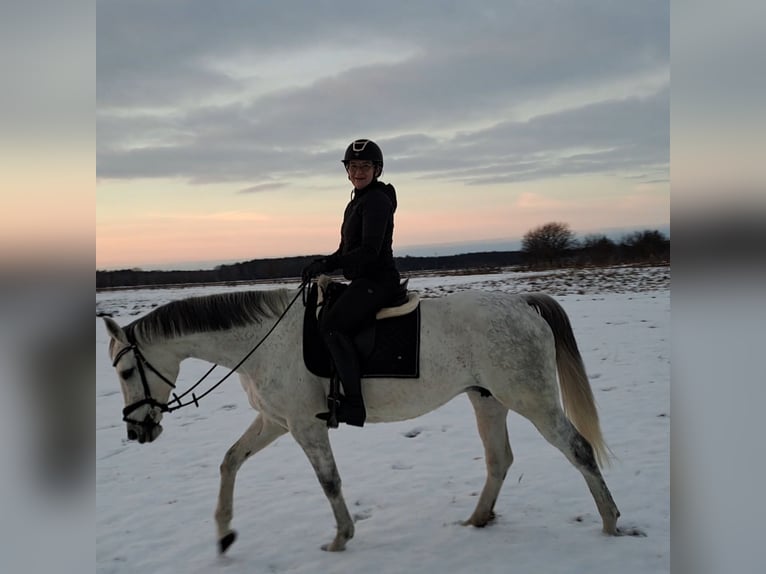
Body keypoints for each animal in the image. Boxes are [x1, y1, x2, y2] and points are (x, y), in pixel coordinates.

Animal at [102, 281, 628, 554]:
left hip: (531, 399)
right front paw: (224, 532)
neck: (263, 341)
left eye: (126, 370)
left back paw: (610, 523)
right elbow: (230, 460)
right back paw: (478, 519)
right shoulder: (276, 422)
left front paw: (341, 537)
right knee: (499, 459)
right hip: (487, 400)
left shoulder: (305, 425)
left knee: (578, 449)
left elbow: (329, 481)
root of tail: (523, 302)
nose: (136, 430)